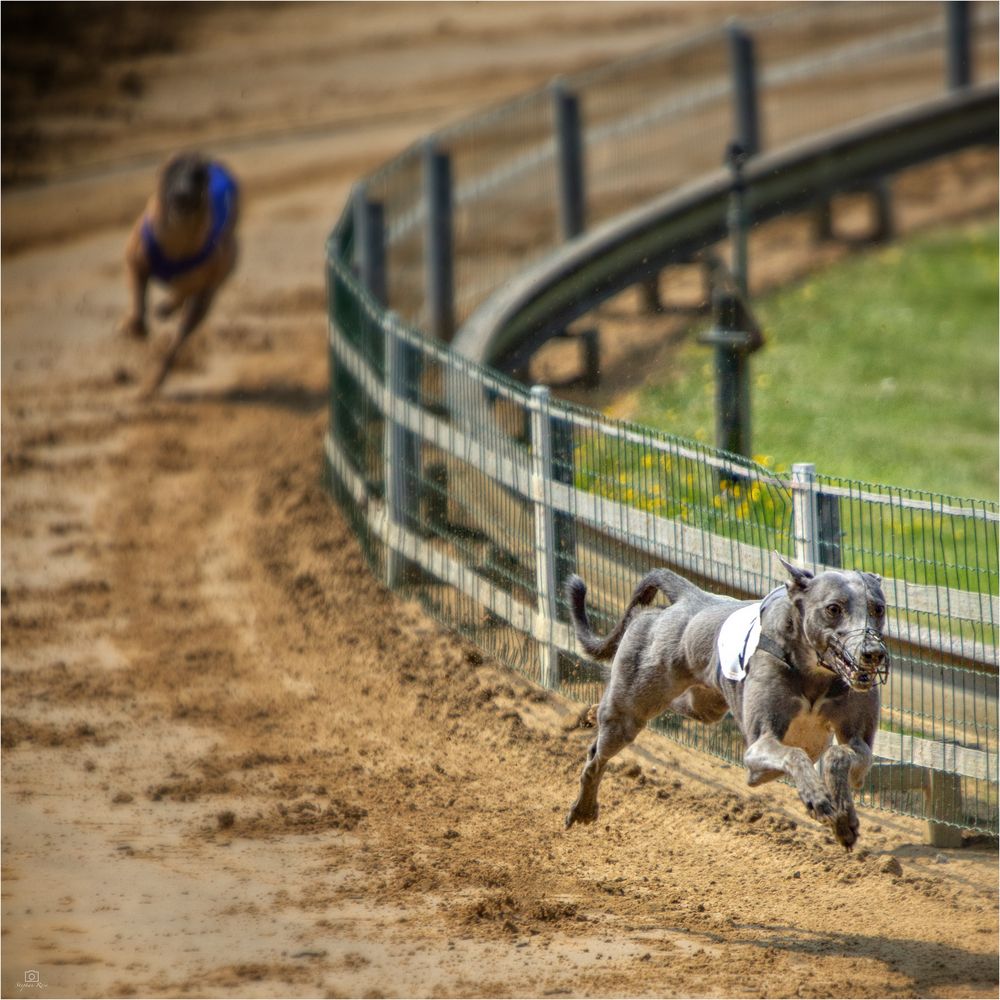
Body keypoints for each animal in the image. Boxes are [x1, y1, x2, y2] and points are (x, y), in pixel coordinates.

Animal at [118, 152, 239, 394]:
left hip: (208, 292)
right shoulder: (135, 262)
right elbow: (138, 298)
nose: (183, 195)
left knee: (179, 336)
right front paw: (135, 326)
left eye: (198, 175)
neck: (176, 240)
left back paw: (155, 379)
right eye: (171, 171)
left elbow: (187, 292)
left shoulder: (204, 280)